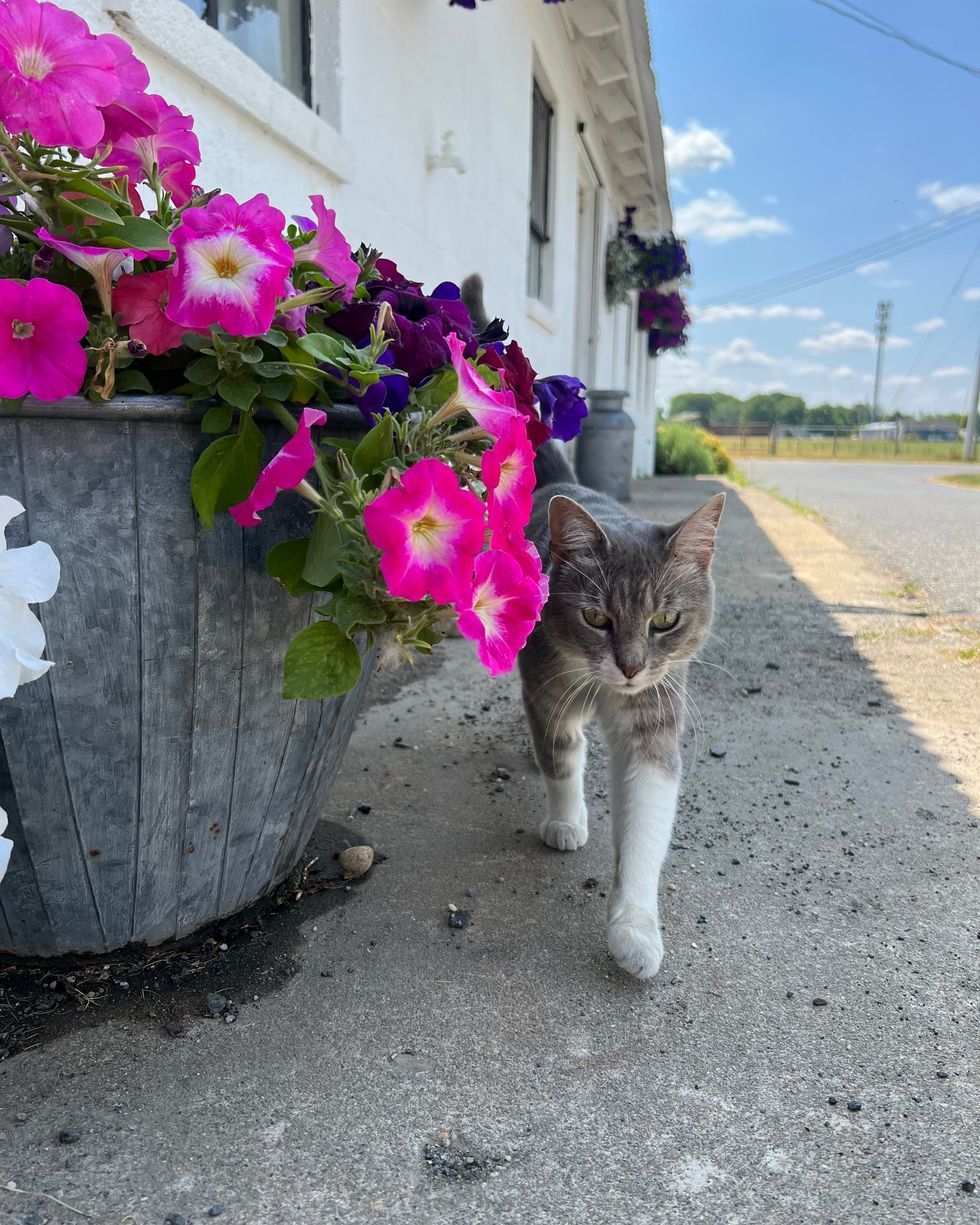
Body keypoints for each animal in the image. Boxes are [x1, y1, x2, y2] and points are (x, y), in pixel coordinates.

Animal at [516, 445, 725, 980]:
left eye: (665, 620)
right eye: (595, 617)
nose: (630, 667)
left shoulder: (653, 717)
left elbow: (644, 822)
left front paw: (634, 931)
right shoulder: (547, 691)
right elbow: (561, 757)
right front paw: (566, 821)